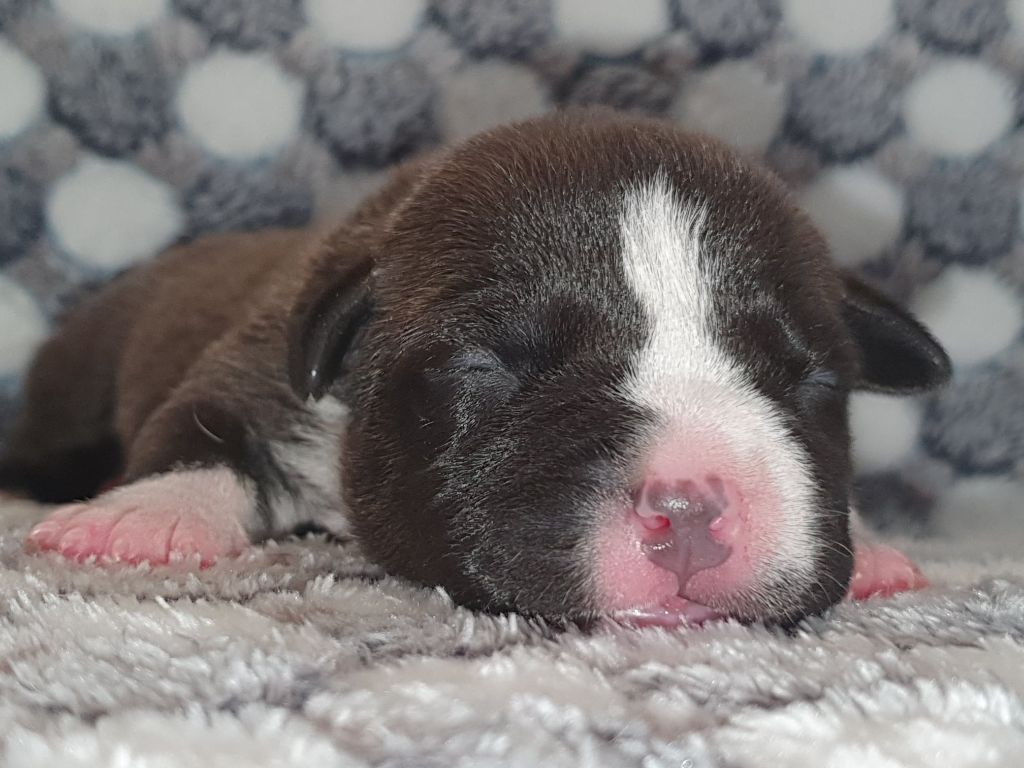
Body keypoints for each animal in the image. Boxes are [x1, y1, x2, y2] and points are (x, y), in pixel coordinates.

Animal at [0, 109, 951, 627]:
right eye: (486, 366)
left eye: (809, 383)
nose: (688, 509)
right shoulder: (268, 357)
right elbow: (204, 422)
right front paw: (144, 517)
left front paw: (870, 545)